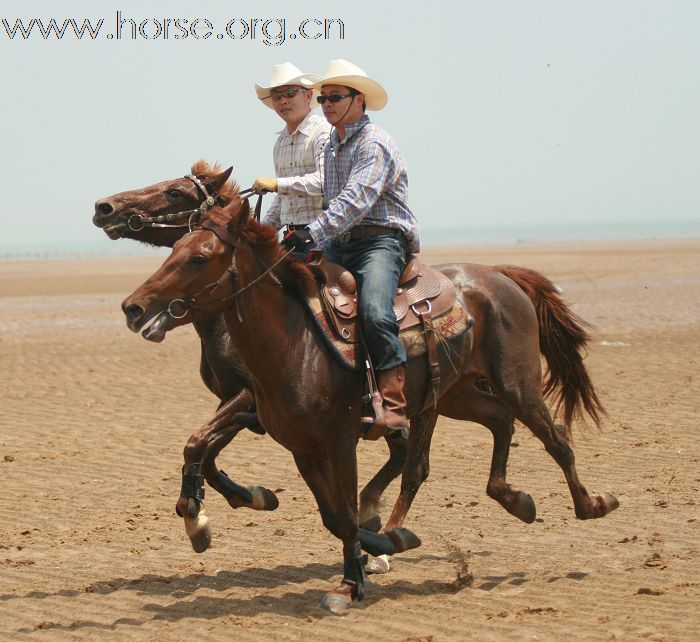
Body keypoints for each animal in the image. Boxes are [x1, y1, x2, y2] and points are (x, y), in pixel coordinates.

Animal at [120, 191, 616, 608]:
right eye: (175, 250)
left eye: (199, 258)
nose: (133, 308)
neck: (296, 342)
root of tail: (498, 275)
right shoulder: (300, 447)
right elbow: (330, 515)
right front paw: (376, 551)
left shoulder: (337, 441)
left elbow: (340, 511)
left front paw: (355, 576)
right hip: (456, 395)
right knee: (497, 423)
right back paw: (512, 499)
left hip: (516, 385)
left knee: (551, 438)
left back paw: (591, 504)